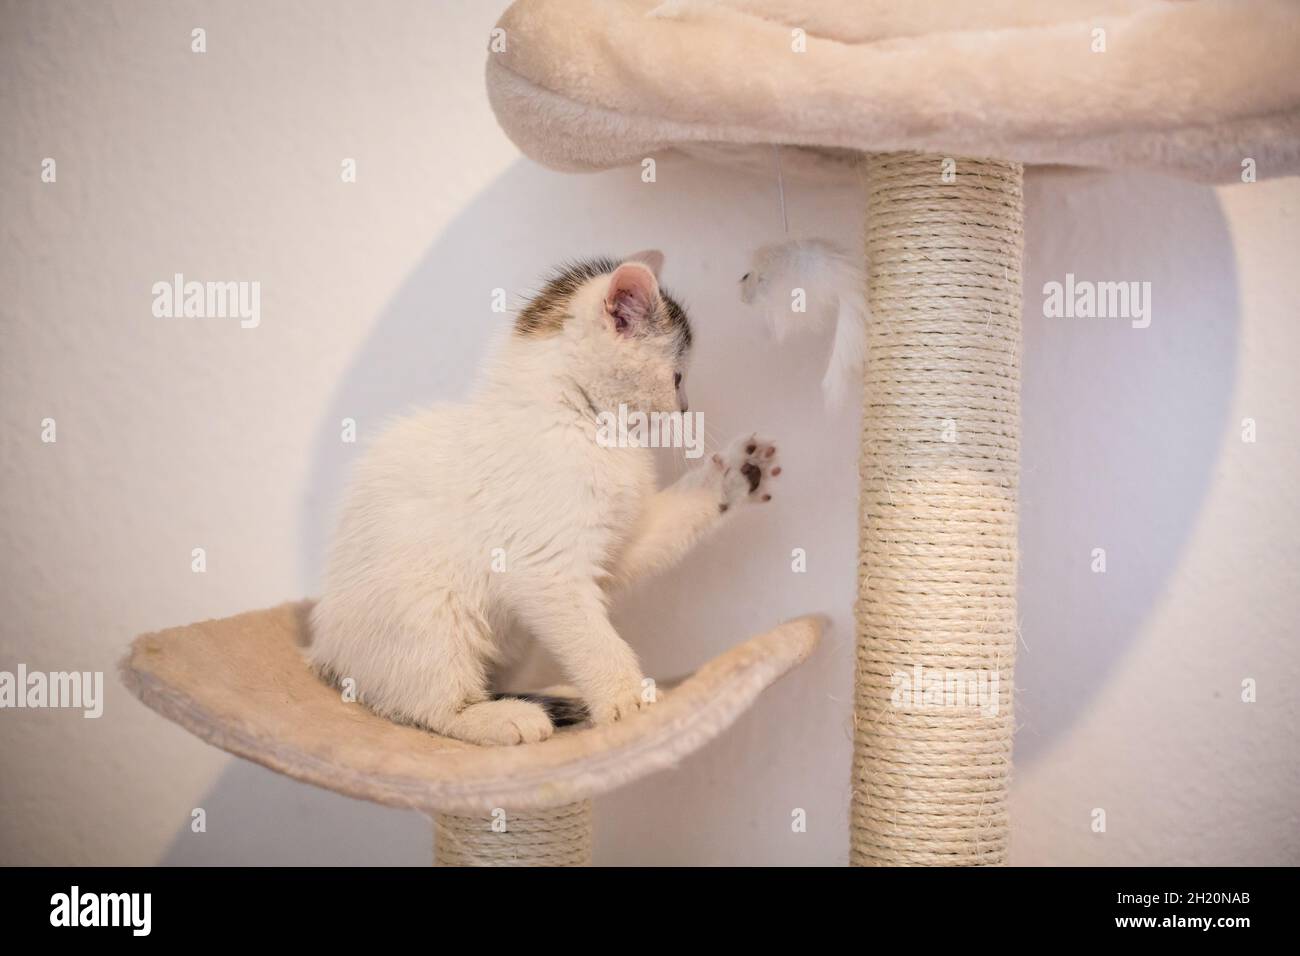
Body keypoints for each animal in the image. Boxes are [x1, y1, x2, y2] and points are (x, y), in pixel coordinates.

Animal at [312, 252, 780, 749]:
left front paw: (737, 473)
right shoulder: (545, 569)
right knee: (428, 705)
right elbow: (595, 643)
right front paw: (631, 703)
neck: (580, 420)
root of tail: (326, 651)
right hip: (428, 614)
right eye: (676, 378)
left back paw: (556, 697)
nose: (687, 408)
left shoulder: (614, 549)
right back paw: (500, 717)